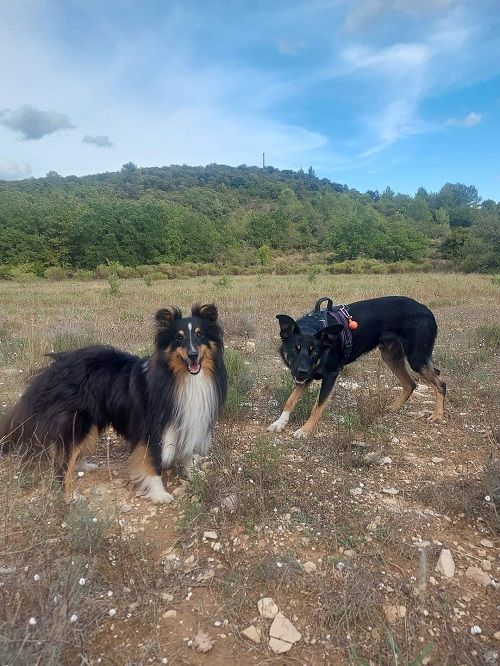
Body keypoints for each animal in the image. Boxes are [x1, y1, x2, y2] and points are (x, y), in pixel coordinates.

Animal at [0, 303, 227, 503]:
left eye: (200, 334)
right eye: (179, 337)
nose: (193, 355)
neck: (178, 377)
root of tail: (52, 369)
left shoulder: (188, 418)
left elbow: (187, 452)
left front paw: (194, 474)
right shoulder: (152, 429)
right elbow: (153, 463)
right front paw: (159, 494)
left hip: (90, 424)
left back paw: (84, 466)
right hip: (77, 424)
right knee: (63, 465)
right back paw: (70, 496)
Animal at [268, 296, 446, 438]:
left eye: (314, 352)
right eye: (295, 349)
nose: (301, 372)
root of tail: (426, 309)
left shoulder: (330, 375)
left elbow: (317, 407)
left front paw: (305, 430)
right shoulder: (308, 376)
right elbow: (290, 400)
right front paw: (280, 422)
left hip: (417, 359)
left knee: (440, 384)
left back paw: (437, 415)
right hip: (391, 357)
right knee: (410, 384)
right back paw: (392, 408)